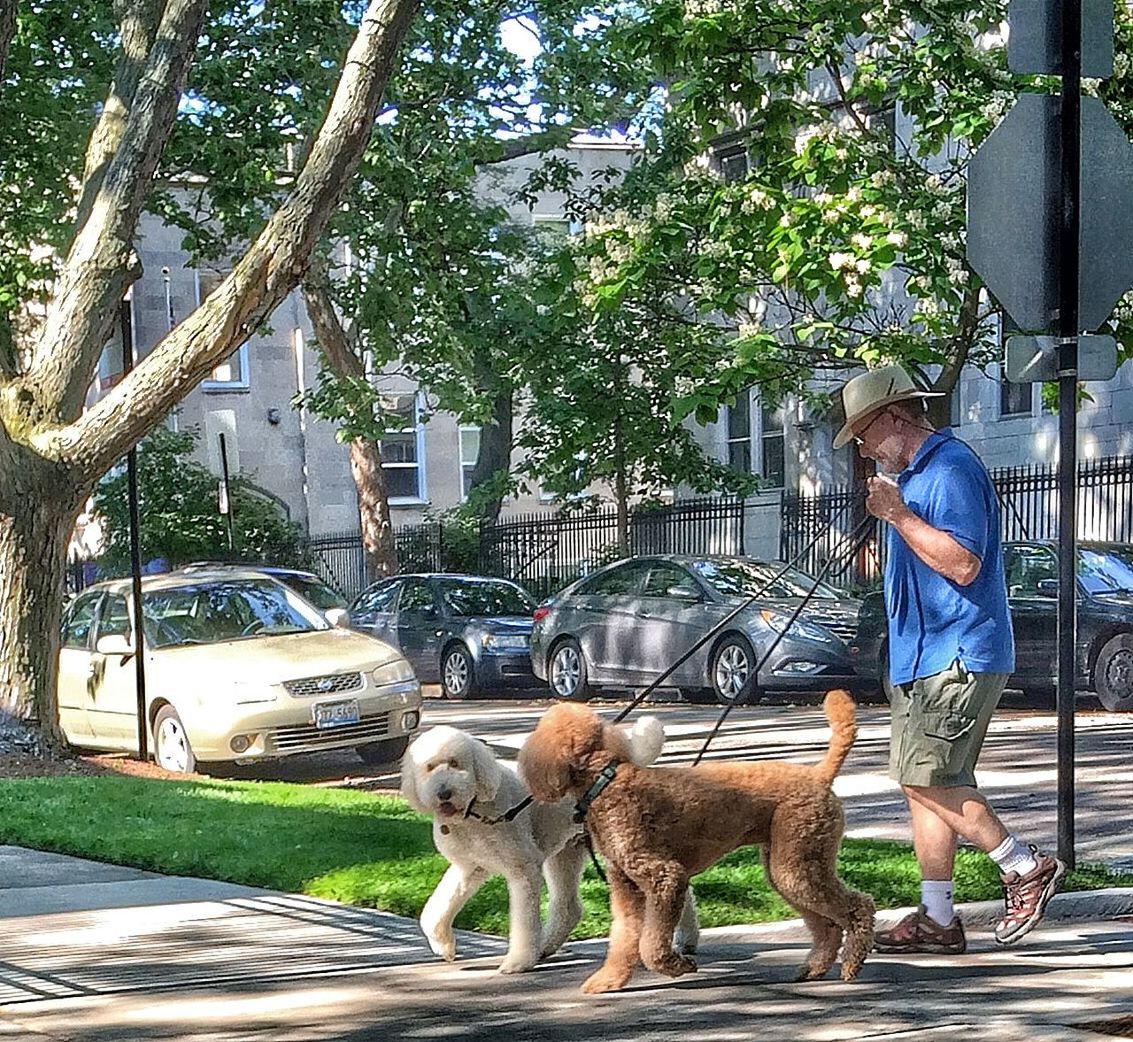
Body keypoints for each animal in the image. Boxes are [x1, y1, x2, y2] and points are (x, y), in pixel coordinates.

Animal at [398, 720, 697, 974]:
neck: (475, 811)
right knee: (569, 907)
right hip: (567, 853)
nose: (444, 792)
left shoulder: (523, 868)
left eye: (455, 763)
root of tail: (620, 764)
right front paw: (443, 945)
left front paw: (518, 962)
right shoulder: (470, 867)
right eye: (429, 767)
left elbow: (525, 924)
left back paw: (685, 939)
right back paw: (547, 946)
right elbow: (436, 908)